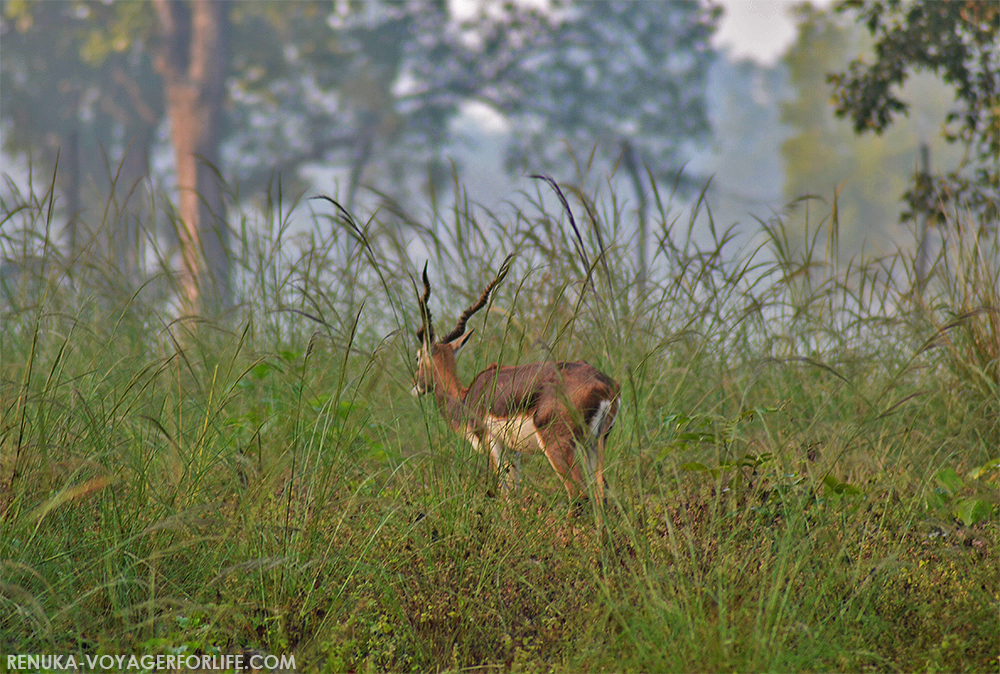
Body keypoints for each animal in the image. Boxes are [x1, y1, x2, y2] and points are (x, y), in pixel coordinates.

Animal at [412, 260, 616, 506]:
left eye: (417, 357)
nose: (415, 386)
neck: (465, 397)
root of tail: (603, 386)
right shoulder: (513, 450)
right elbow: (514, 492)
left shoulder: (492, 443)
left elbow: (503, 491)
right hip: (594, 445)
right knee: (602, 493)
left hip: (558, 446)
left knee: (580, 494)